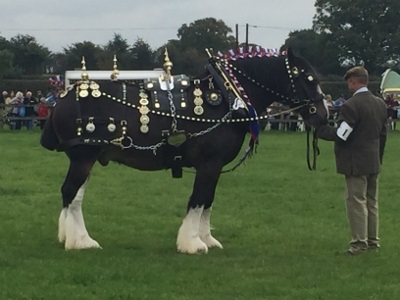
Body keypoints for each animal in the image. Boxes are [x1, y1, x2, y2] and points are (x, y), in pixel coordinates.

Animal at [41, 47, 328, 253]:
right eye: (309, 78)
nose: (324, 115)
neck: (227, 97)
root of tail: (63, 98)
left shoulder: (214, 167)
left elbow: (208, 200)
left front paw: (207, 238)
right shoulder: (209, 164)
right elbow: (198, 199)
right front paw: (192, 243)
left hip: (86, 159)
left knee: (75, 196)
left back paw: (68, 236)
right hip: (83, 158)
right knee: (70, 192)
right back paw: (80, 241)